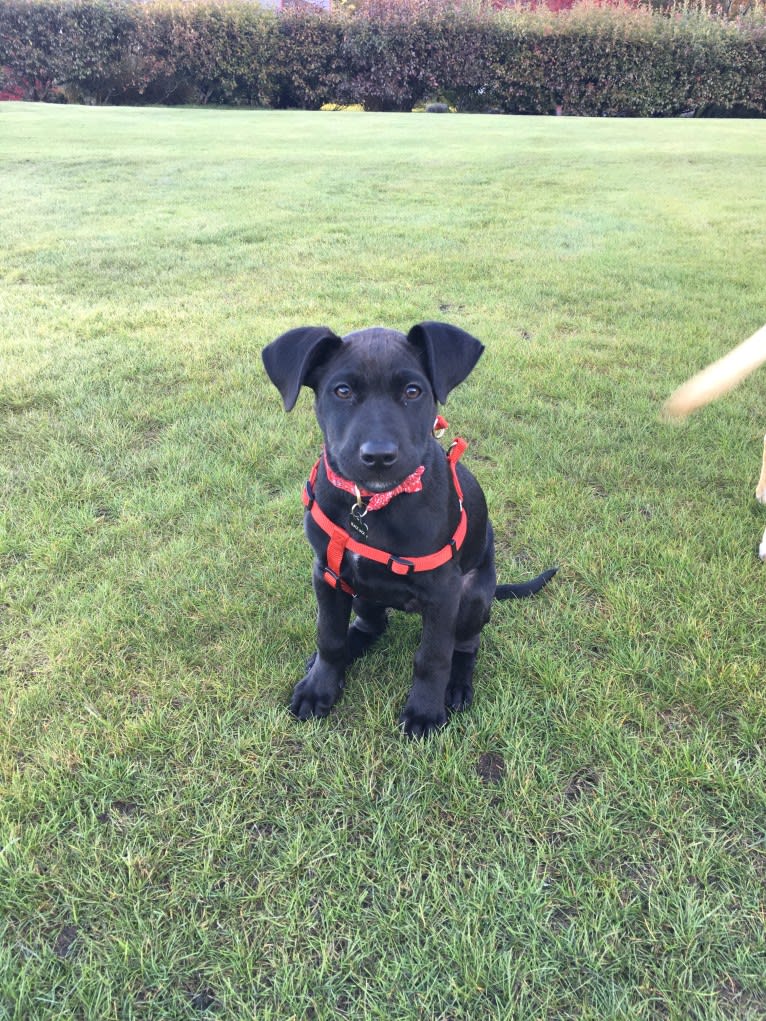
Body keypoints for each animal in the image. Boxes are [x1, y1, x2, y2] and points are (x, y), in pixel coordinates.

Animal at [263, 322, 559, 739]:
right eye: (342, 391)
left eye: (413, 391)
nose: (378, 457)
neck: (371, 504)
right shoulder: (327, 573)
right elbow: (329, 637)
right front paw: (320, 687)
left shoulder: (444, 592)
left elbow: (432, 656)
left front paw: (424, 711)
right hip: (359, 591)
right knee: (372, 624)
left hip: (472, 596)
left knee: (465, 645)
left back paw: (457, 684)